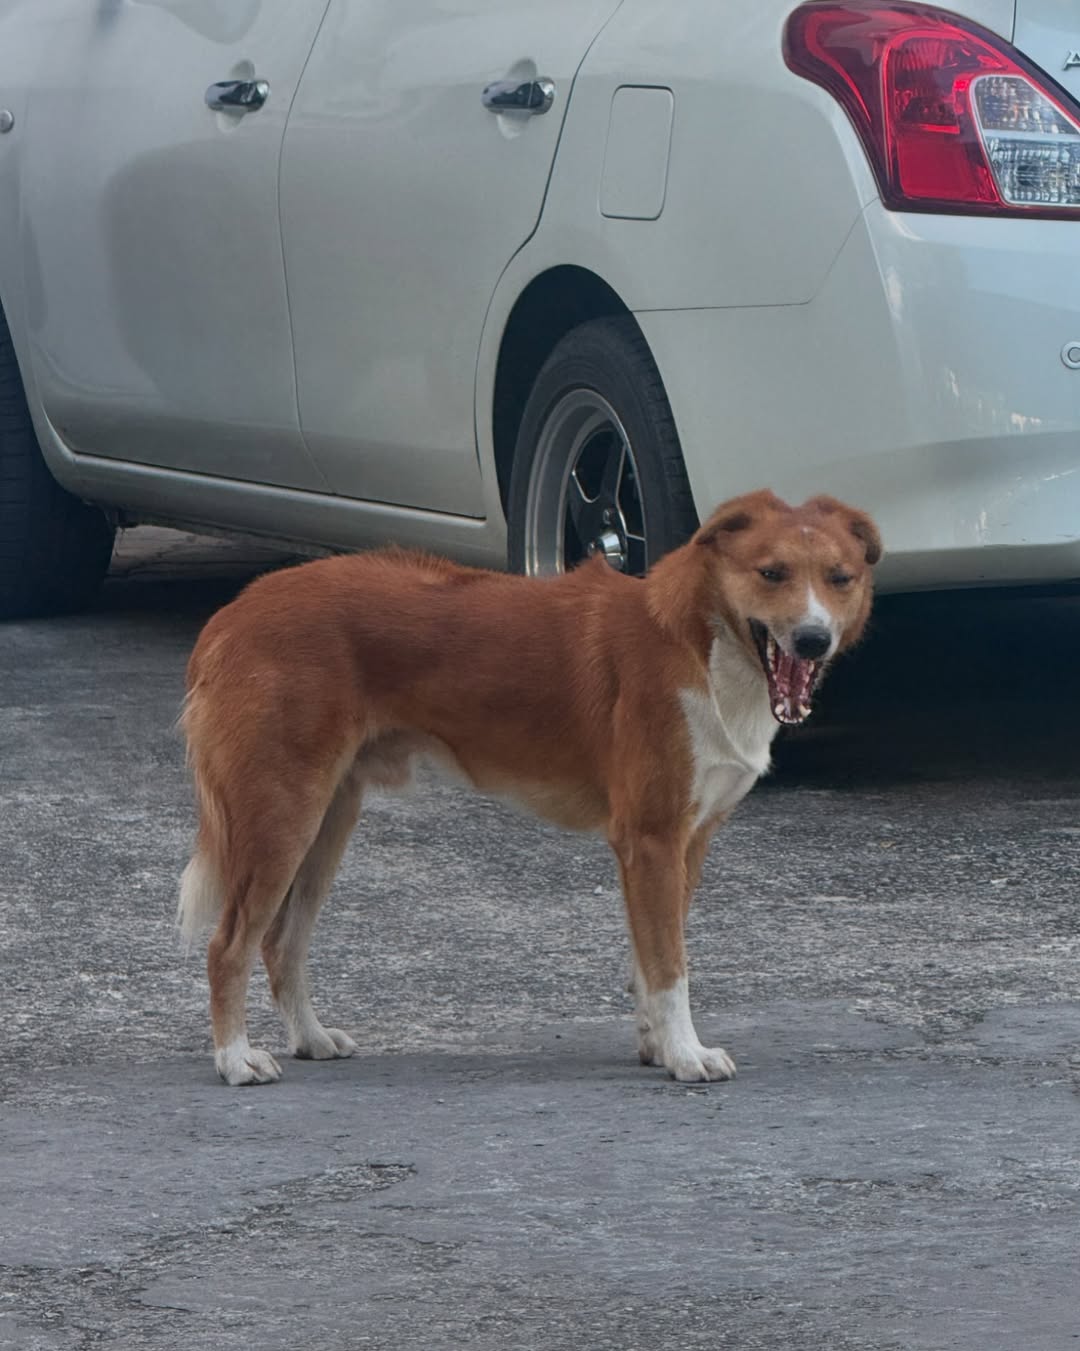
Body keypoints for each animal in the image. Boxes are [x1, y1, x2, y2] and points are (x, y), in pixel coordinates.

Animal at [181, 491, 881, 1080]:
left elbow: (647, 962)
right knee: (228, 945)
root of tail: (235, 612)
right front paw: (685, 1055)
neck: (700, 642)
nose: (813, 638)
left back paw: (310, 1038)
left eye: (839, 578)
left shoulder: (686, 843)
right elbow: (669, 967)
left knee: (281, 943)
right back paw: (235, 1059)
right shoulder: (652, 839)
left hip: (327, 818)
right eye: (772, 574)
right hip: (283, 815)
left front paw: (656, 1046)